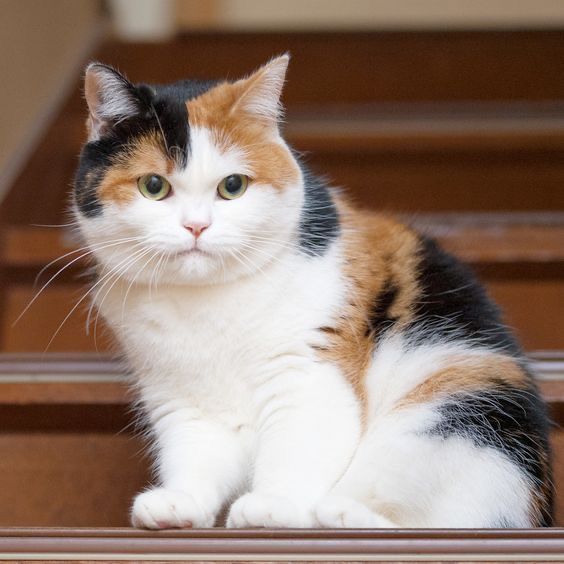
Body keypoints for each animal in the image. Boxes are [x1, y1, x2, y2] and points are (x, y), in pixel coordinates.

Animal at [72, 55, 552, 528]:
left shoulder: (308, 373)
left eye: (233, 186)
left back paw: (339, 514)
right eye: (153, 186)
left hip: (452, 404)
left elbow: (297, 446)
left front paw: (273, 506)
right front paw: (181, 504)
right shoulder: (181, 399)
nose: (196, 226)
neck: (206, 305)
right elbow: (196, 454)